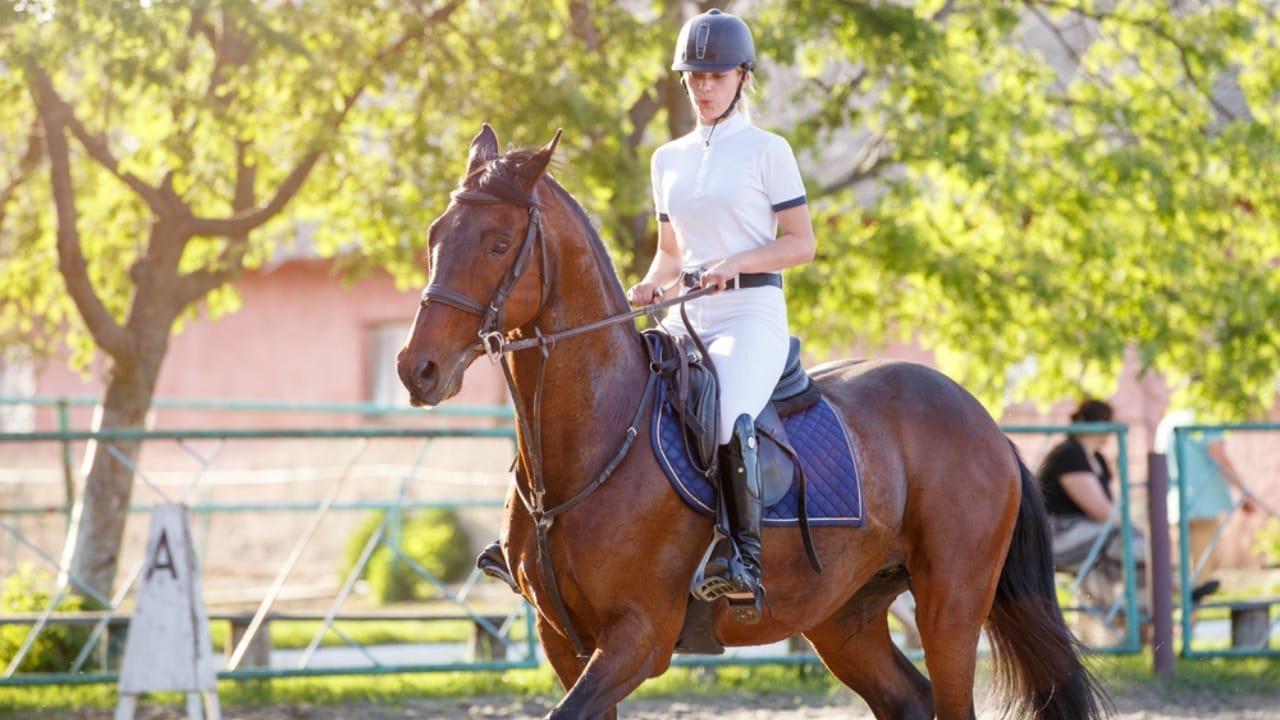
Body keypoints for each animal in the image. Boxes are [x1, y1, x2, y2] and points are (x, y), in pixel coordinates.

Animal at [397, 125, 1110, 720]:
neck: (593, 442)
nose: (416, 369)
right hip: (844, 617)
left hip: (951, 605)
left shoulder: (638, 635)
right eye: (434, 235)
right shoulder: (562, 639)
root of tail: (983, 422)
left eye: (497, 243)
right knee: (908, 699)